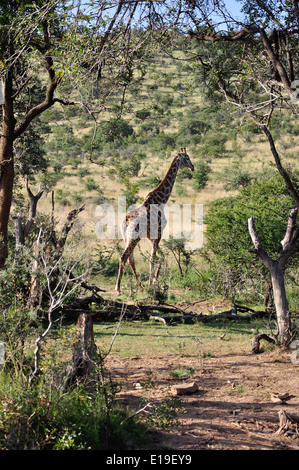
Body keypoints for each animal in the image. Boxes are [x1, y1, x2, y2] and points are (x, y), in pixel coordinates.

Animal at [116, 148, 196, 294]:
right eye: (187, 158)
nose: (192, 167)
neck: (161, 200)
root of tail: (126, 220)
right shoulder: (158, 232)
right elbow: (154, 257)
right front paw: (152, 283)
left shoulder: (150, 236)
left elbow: (160, 256)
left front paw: (153, 282)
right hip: (134, 238)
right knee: (123, 257)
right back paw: (118, 288)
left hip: (126, 238)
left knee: (130, 259)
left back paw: (139, 285)